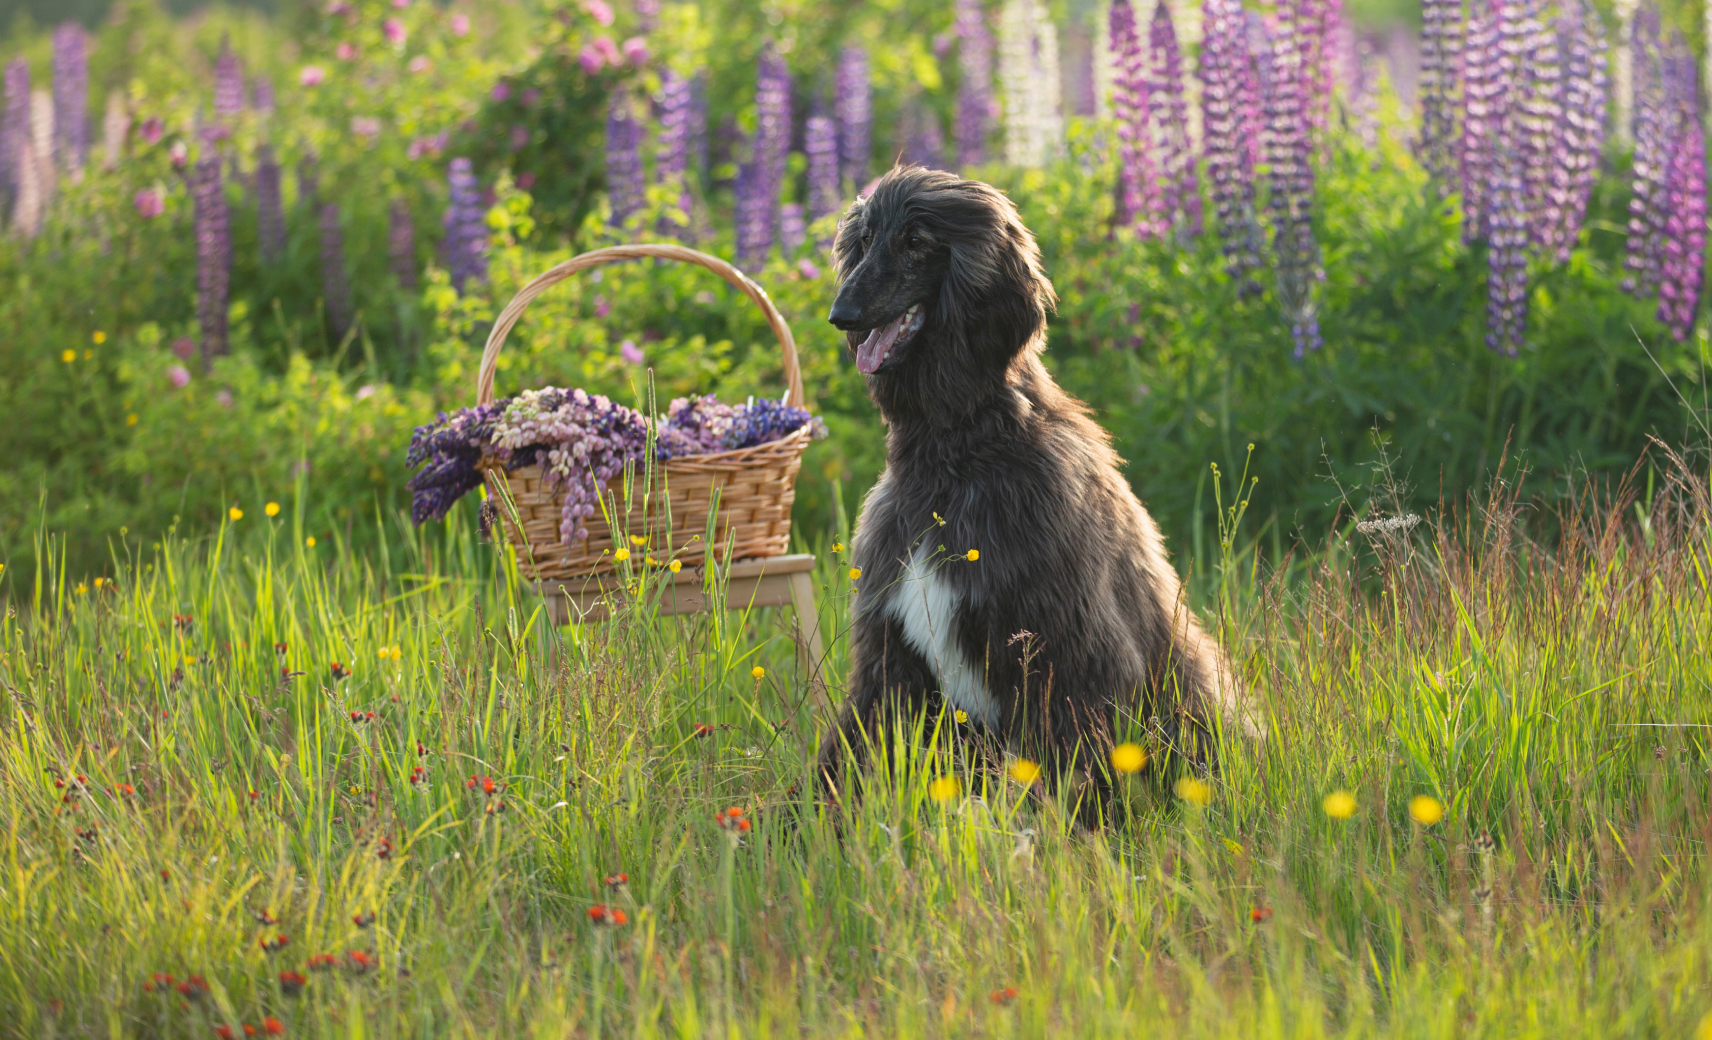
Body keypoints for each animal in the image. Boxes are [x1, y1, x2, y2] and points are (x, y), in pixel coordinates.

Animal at [808, 167, 1253, 825]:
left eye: (917, 241)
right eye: (863, 241)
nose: (844, 315)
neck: (958, 459)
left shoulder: (1067, 653)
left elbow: (1061, 768)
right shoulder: (891, 656)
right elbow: (851, 756)